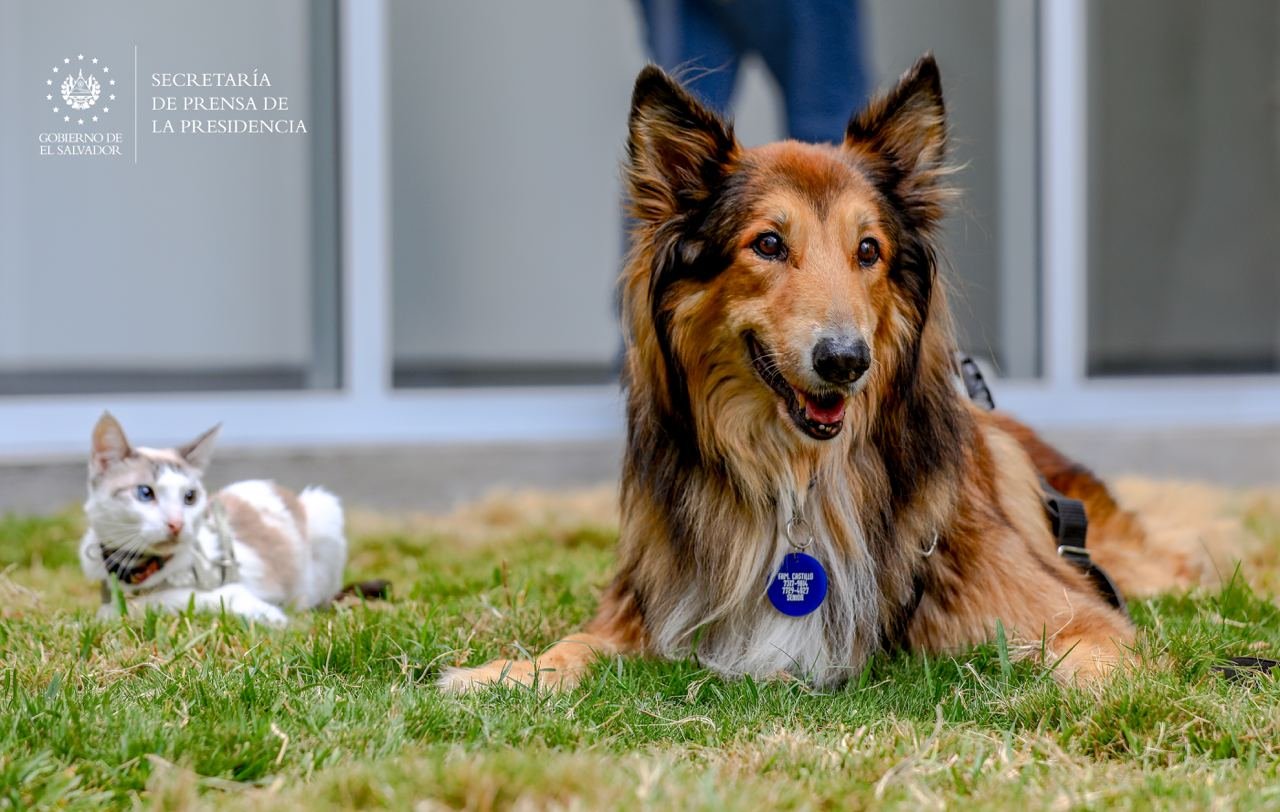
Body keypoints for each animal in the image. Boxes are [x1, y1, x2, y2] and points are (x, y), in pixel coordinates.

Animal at [81, 407, 350, 622]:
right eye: (145, 493)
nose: (177, 524)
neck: (138, 568)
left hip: (324, 507)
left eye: (190, 497)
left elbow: (163, 600)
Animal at [440, 55, 1208, 691]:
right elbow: (576, 643)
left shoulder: (1067, 608)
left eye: (868, 249)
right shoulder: (651, 601)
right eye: (768, 244)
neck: (798, 477)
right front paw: (504, 673)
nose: (845, 361)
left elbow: (1093, 654)